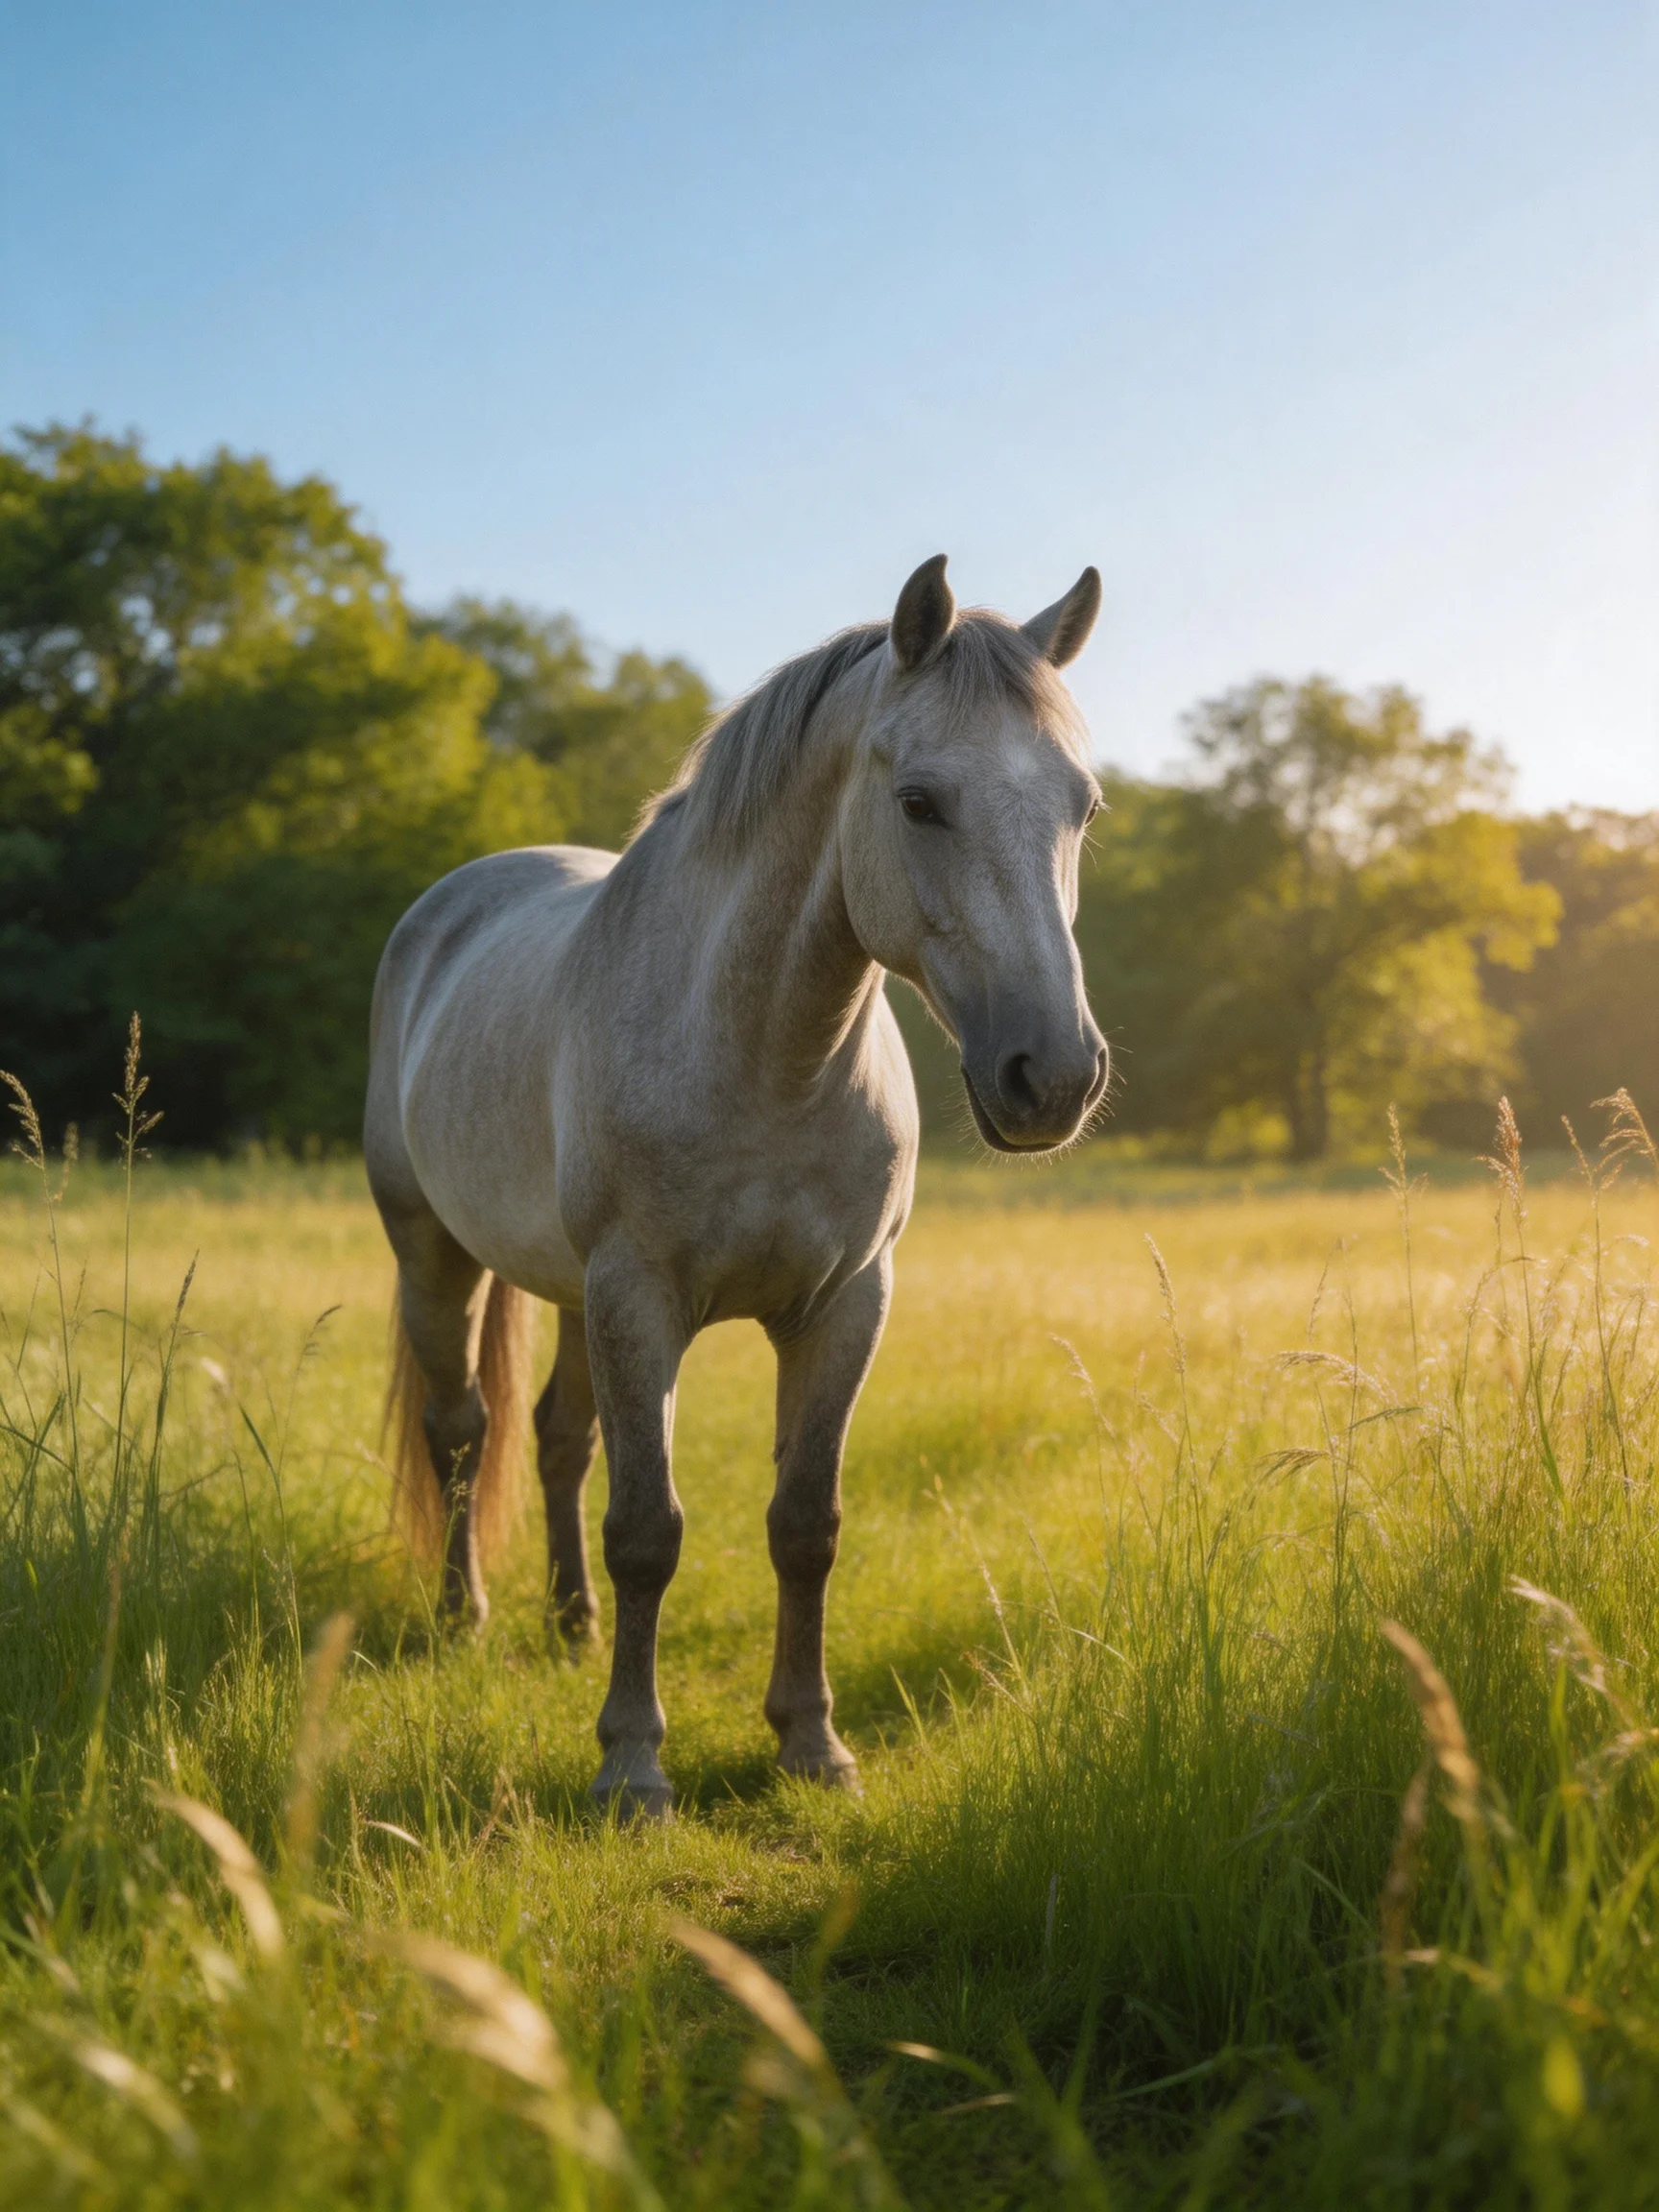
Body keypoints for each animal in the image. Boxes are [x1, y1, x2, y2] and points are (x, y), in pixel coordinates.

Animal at [365, 553, 1109, 1818]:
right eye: (920, 802)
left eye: (1083, 806)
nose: (1051, 1076)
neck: (763, 1052)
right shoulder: (639, 1299)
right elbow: (647, 1528)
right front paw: (630, 1765)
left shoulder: (846, 1304)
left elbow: (805, 1524)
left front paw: (811, 1743)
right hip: (436, 1253)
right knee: (461, 1433)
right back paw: (465, 1619)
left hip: (569, 1294)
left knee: (555, 1438)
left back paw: (570, 1623)